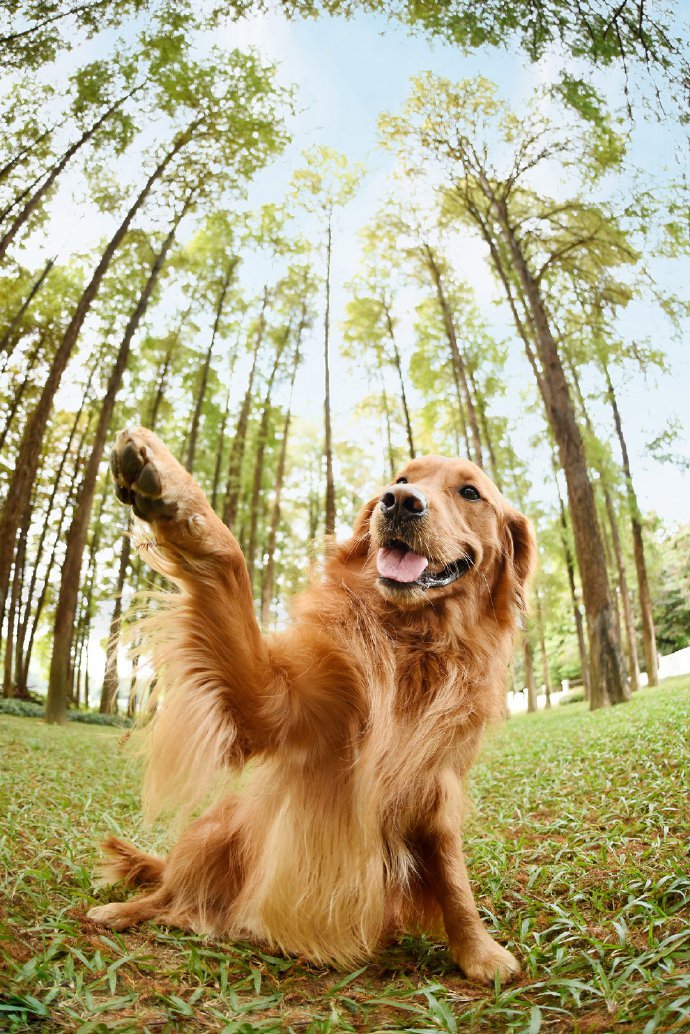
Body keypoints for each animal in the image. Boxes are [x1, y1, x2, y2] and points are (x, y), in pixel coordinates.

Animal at [86, 426, 537, 984]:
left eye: (470, 492)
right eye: (400, 479)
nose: (400, 503)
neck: (413, 644)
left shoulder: (436, 788)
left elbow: (454, 879)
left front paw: (478, 951)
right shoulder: (275, 707)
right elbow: (232, 567)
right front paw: (174, 491)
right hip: (215, 830)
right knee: (169, 892)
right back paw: (125, 910)